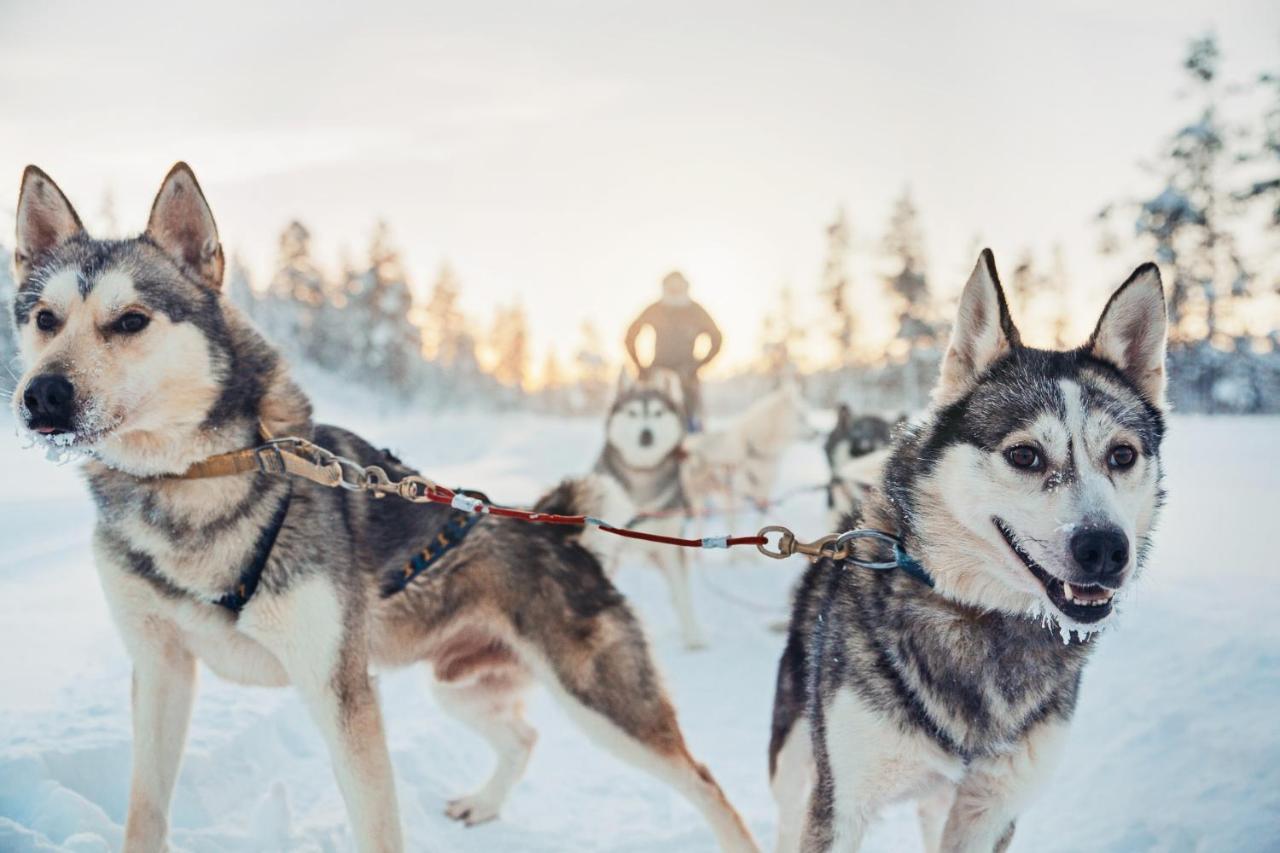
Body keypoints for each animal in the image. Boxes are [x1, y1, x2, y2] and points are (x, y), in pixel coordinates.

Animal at [10, 163, 752, 850]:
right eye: (45, 318)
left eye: (131, 320)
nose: (42, 394)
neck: (191, 481)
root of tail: (559, 527)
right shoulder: (161, 671)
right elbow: (144, 810)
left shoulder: (340, 693)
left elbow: (376, 825)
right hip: (457, 686)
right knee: (525, 736)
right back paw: (484, 803)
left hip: (603, 701)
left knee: (708, 783)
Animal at [768, 249, 1172, 845]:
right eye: (1025, 455)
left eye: (1122, 455)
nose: (1105, 549)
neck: (982, 619)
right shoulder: (841, 805)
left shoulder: (991, 809)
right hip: (796, 763)